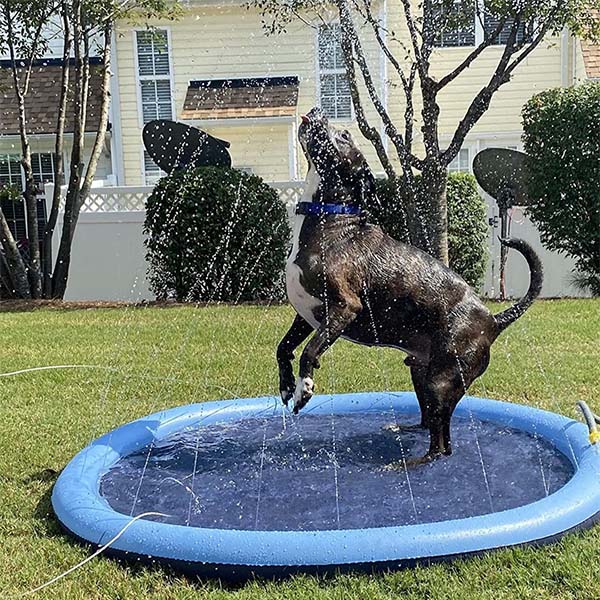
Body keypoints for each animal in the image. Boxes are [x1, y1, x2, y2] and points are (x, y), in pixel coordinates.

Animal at [276, 106, 544, 464]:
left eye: (344, 135)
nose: (319, 110)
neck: (331, 221)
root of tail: (492, 319)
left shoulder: (344, 308)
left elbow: (310, 350)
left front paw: (303, 389)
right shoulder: (306, 314)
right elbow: (284, 348)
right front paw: (286, 385)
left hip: (442, 380)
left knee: (442, 443)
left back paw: (410, 463)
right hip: (421, 370)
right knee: (429, 422)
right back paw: (404, 430)